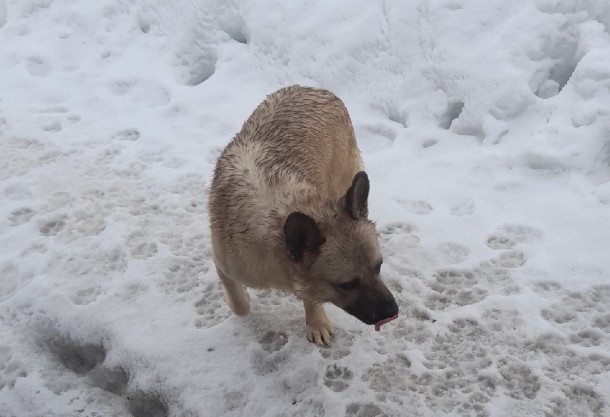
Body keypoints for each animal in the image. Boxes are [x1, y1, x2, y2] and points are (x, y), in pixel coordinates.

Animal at [208, 84, 400, 344]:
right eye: (348, 285)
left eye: (378, 266)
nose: (392, 312)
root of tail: (316, 89)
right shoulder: (224, 264)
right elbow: (240, 305)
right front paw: (240, 300)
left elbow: (311, 296)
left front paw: (316, 320)